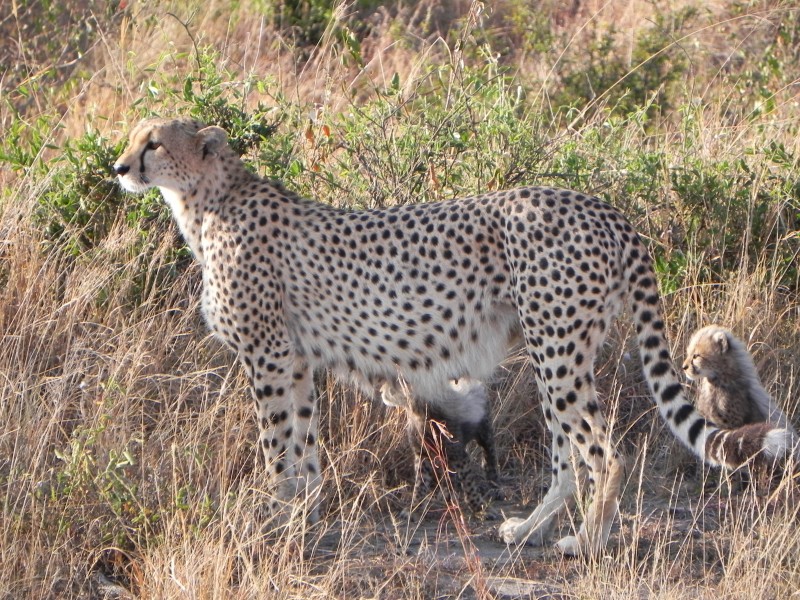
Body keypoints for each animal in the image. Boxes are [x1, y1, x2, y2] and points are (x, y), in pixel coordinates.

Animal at [111, 118, 792, 556]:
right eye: (134, 138)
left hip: (557, 348)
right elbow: (302, 447)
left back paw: (588, 543)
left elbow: (279, 446)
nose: (118, 166)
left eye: (153, 142)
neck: (205, 201)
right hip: (560, 349)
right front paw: (302, 517)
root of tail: (602, 206)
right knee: (568, 454)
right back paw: (530, 530)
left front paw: (276, 523)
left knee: (604, 453)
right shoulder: (296, 360)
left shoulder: (270, 356)